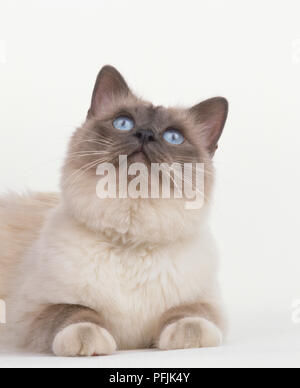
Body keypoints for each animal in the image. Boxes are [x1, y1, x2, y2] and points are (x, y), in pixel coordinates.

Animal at [0, 66, 227, 354]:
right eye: (123, 123)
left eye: (173, 137)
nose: (145, 134)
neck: (129, 243)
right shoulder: (37, 311)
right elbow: (75, 312)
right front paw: (89, 339)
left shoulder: (202, 302)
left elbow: (190, 315)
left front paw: (187, 337)